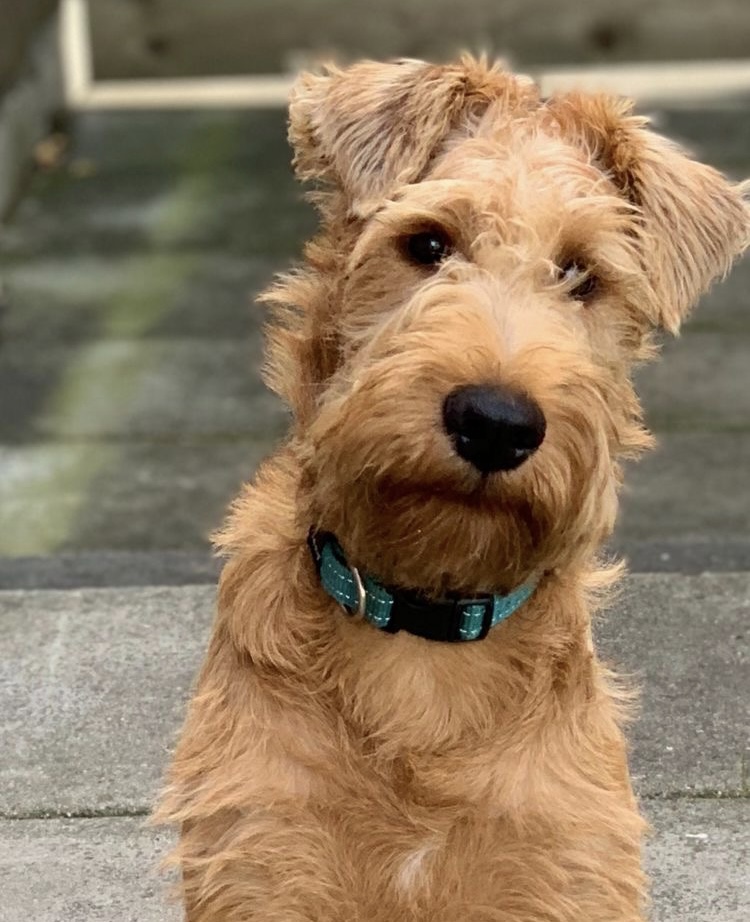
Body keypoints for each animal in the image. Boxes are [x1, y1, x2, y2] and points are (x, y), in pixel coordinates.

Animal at [156, 59, 748, 920]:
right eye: (427, 243)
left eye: (581, 274)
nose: (496, 422)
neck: (424, 641)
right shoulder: (265, 857)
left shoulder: (558, 868)